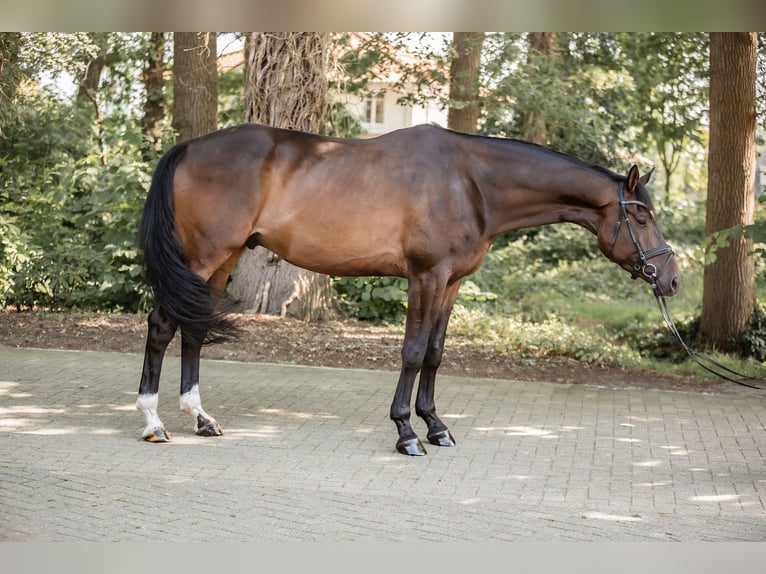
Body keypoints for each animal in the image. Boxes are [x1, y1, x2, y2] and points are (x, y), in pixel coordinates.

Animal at [135, 124, 680, 456]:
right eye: (641, 216)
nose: (671, 278)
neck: (470, 183)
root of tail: (190, 148)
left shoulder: (452, 282)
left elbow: (435, 354)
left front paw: (436, 426)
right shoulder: (426, 276)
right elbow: (413, 353)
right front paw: (405, 432)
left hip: (222, 261)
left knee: (193, 329)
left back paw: (201, 418)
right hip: (203, 256)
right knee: (162, 325)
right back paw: (153, 423)